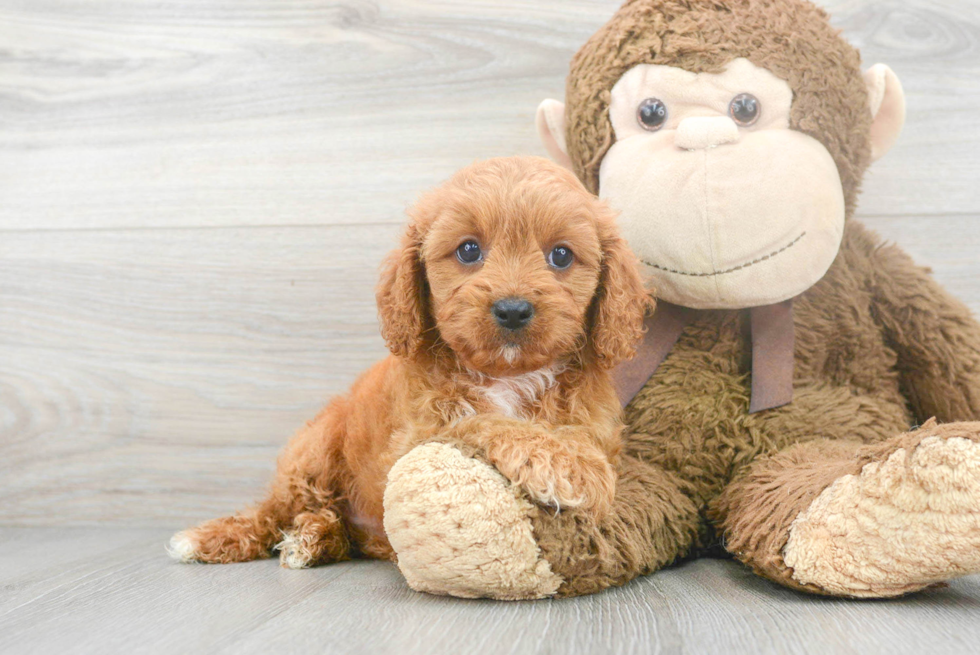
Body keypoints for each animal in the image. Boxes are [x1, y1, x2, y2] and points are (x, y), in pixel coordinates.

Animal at [168, 155, 652, 568]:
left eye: (562, 255)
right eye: (469, 250)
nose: (513, 310)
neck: (507, 375)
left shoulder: (595, 424)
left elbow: (579, 438)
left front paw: (575, 458)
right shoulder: (419, 436)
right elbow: (483, 421)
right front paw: (566, 465)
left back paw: (316, 538)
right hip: (314, 448)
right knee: (275, 509)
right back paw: (223, 537)